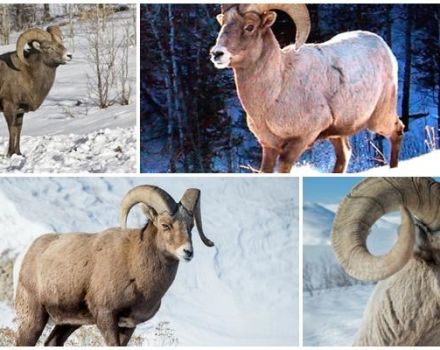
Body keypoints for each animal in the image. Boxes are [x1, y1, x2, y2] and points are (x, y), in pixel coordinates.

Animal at [0, 27, 71, 157]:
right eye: (48, 47)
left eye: (61, 44)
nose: (69, 55)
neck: (28, 73)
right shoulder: (9, 107)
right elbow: (11, 129)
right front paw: (10, 154)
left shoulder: (20, 112)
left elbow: (18, 129)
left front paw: (18, 153)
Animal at [13, 185, 213, 346]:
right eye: (165, 225)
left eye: (191, 226)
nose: (187, 252)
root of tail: (30, 252)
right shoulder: (106, 317)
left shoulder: (129, 326)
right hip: (33, 319)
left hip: (68, 323)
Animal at [211, 2, 404, 172]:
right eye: (223, 24)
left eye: (249, 27)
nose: (216, 53)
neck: (276, 91)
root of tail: (384, 47)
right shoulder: (269, 146)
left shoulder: (301, 140)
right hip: (337, 134)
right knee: (344, 155)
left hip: (379, 118)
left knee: (397, 132)